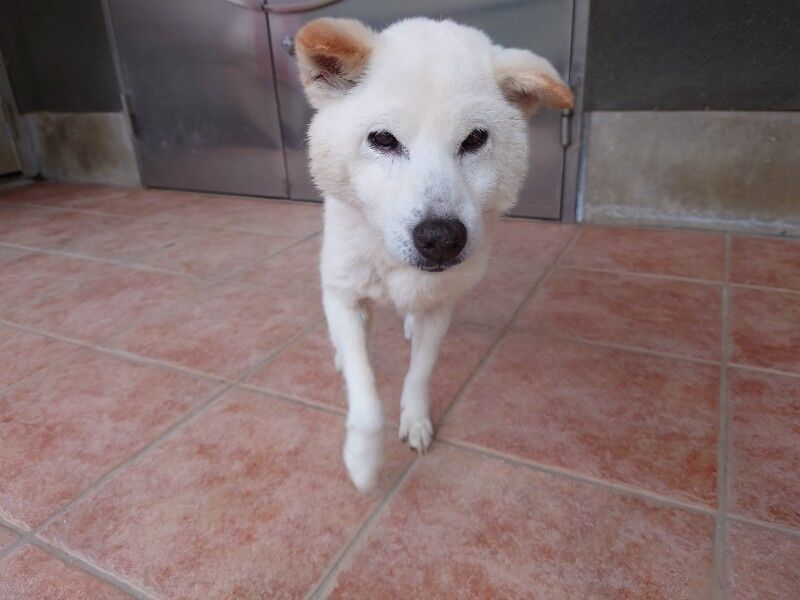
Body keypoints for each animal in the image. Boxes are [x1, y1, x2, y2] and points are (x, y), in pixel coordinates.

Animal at [295, 17, 573, 490]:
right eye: (382, 139)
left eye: (475, 139)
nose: (442, 238)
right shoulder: (345, 295)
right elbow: (365, 394)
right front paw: (363, 460)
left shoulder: (440, 307)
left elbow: (420, 372)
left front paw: (415, 419)